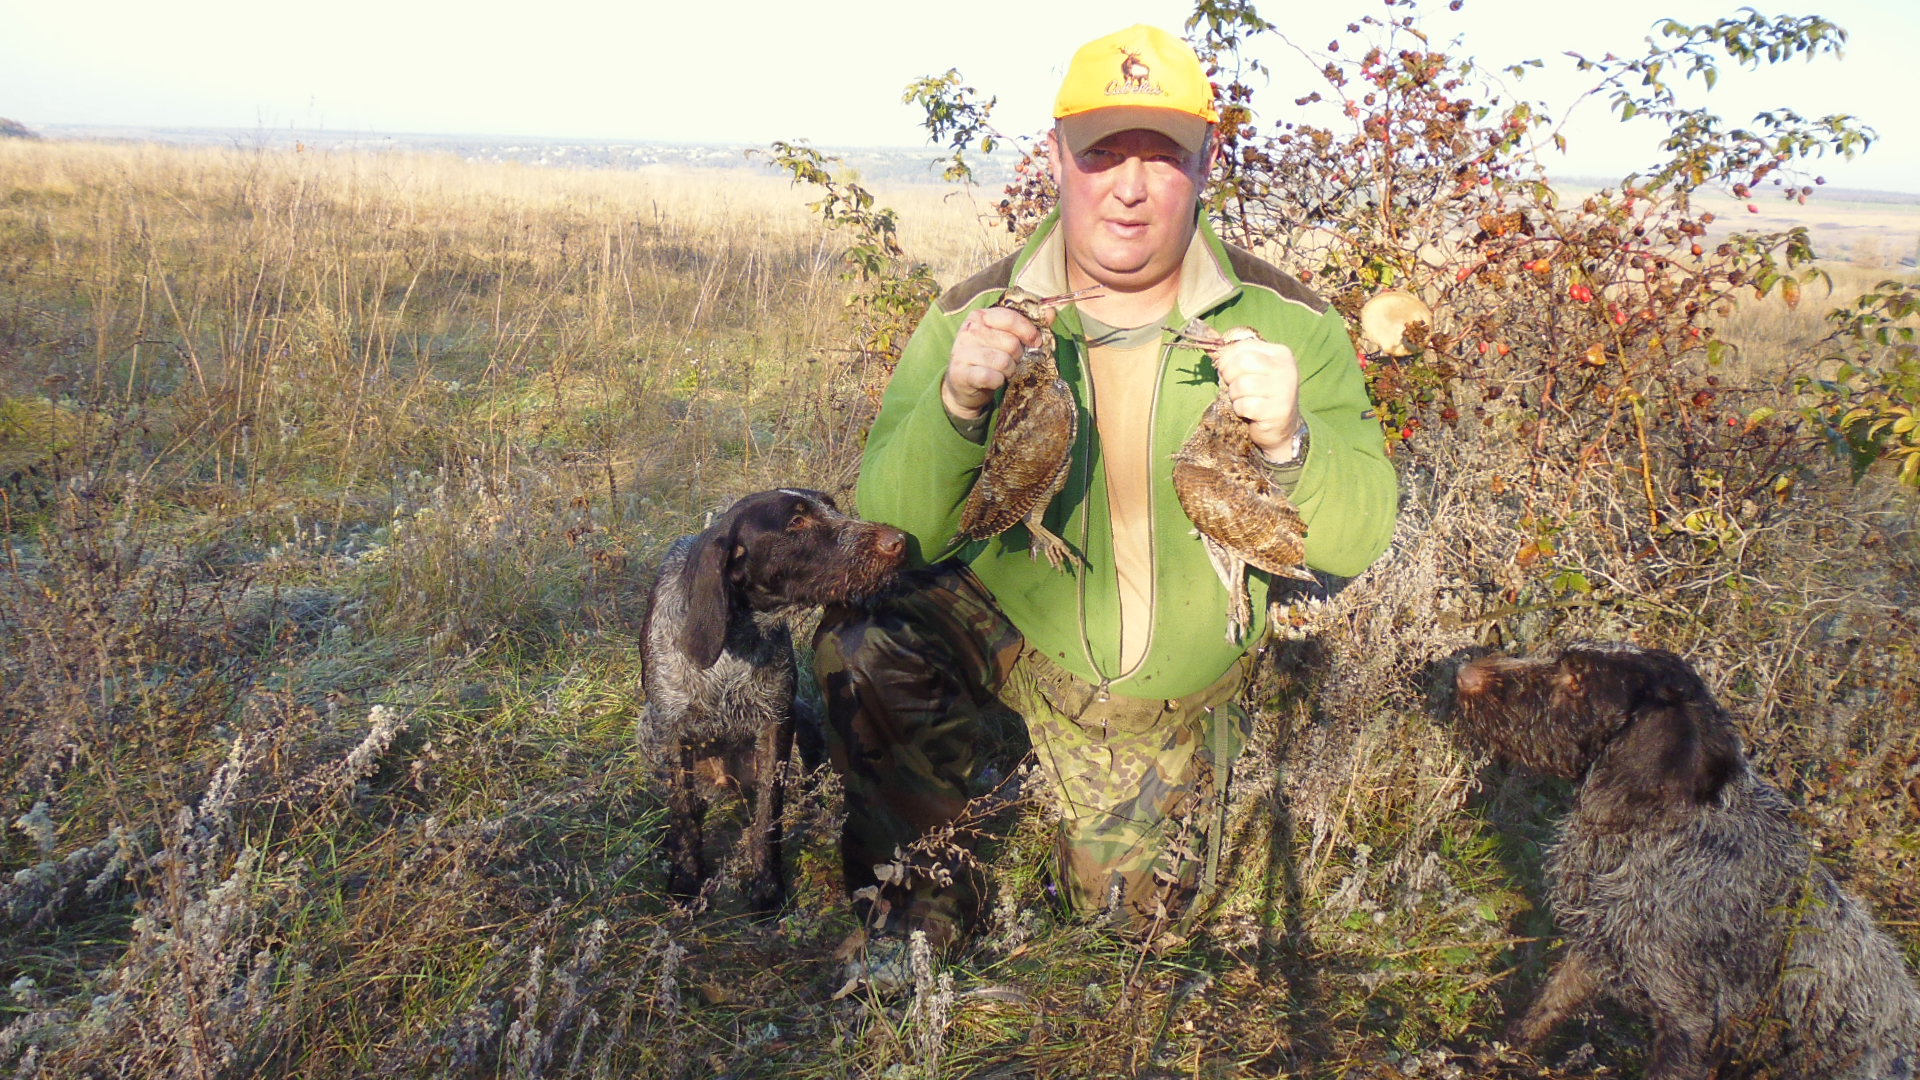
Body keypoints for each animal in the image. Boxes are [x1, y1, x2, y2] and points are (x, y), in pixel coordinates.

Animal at [639, 489, 906, 912]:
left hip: (804, 722)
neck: (735, 641)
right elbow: (682, 815)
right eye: (796, 523)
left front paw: (766, 884)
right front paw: (686, 878)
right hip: (647, 731)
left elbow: (769, 815)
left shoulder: (777, 722)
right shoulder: (670, 728)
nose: (901, 542)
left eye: (832, 507)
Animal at [1451, 641, 1920, 1080]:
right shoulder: (1598, 947)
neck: (1658, 834)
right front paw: (1491, 1059)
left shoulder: (1688, 1022)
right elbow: (1541, 1012)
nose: (1464, 673)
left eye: (1578, 681)